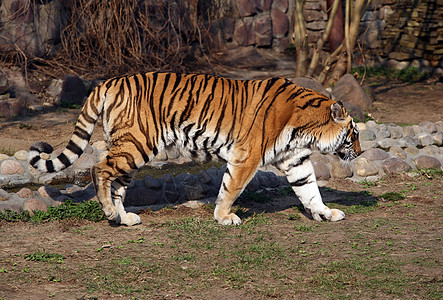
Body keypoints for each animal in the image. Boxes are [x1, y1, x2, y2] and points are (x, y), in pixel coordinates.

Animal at [28, 72, 360, 225]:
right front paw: (225, 217)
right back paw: (110, 213)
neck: (307, 130)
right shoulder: (246, 157)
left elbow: (310, 189)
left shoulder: (296, 161)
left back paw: (125, 219)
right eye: (354, 134)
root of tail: (108, 81)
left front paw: (325, 213)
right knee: (99, 169)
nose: (360, 152)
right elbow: (231, 189)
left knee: (117, 183)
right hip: (136, 144)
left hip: (130, 149)